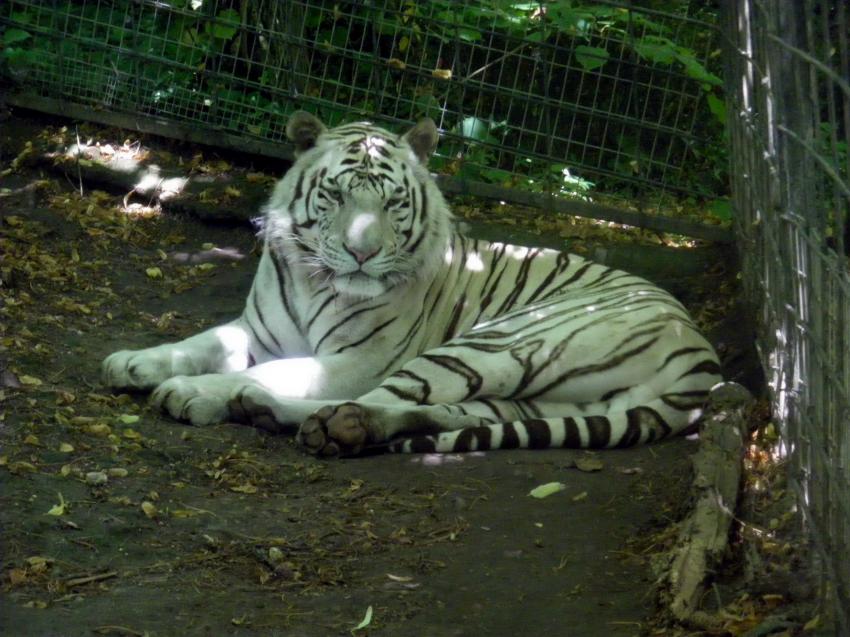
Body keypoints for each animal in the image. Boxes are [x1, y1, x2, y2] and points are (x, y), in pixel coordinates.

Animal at [102, 111, 722, 457]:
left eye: (394, 203)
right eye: (336, 195)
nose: (362, 252)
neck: (310, 278)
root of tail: (702, 353)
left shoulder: (357, 357)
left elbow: (277, 370)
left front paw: (191, 390)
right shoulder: (256, 329)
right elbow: (200, 342)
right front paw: (132, 362)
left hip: (497, 343)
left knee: (370, 398)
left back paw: (257, 407)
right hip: (529, 398)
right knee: (443, 413)